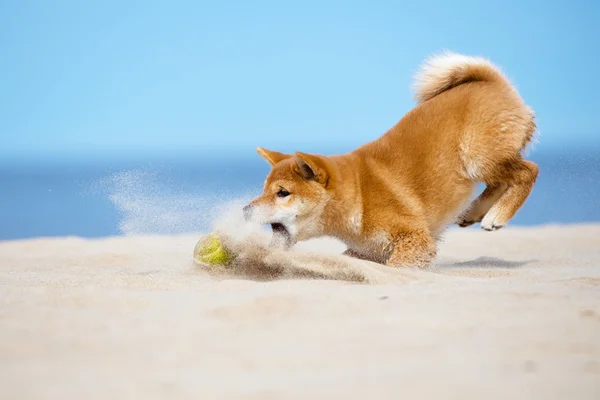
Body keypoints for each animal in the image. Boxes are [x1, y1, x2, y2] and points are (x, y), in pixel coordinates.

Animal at [243, 50, 540, 268]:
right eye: (264, 190)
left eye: (282, 193)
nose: (244, 210)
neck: (359, 197)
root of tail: (492, 81)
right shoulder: (368, 251)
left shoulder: (414, 238)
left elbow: (396, 268)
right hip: (481, 161)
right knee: (503, 179)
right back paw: (475, 212)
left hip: (476, 157)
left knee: (528, 171)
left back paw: (496, 216)